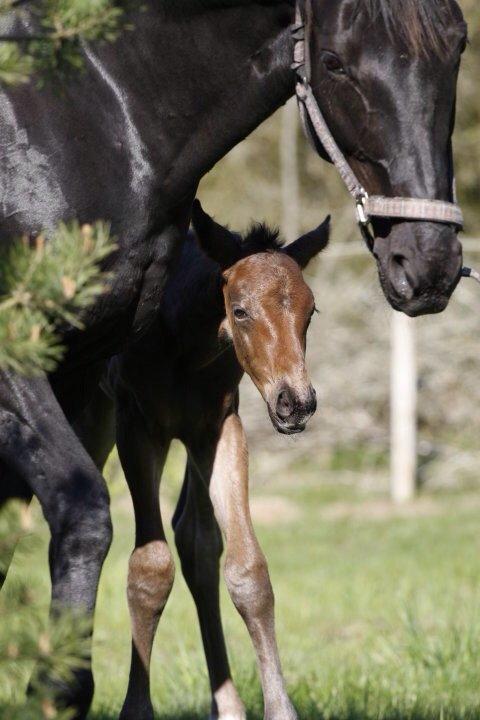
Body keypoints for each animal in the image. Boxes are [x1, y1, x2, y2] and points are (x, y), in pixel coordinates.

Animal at [75, 201, 330, 720]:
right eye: (241, 309)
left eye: (310, 310)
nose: (296, 403)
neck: (182, 345)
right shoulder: (137, 425)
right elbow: (149, 570)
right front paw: (136, 709)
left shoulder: (218, 426)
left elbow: (246, 568)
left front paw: (278, 708)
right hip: (92, 416)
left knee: (195, 539)